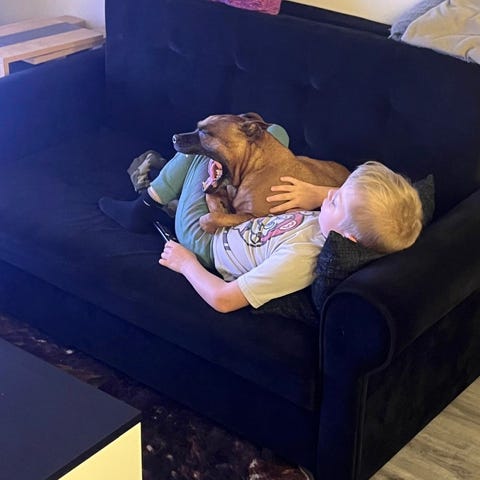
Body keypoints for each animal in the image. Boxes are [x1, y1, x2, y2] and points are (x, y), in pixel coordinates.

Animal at [172, 113, 350, 232]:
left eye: (204, 133)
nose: (174, 137)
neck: (254, 166)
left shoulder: (250, 216)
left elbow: (209, 218)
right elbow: (212, 197)